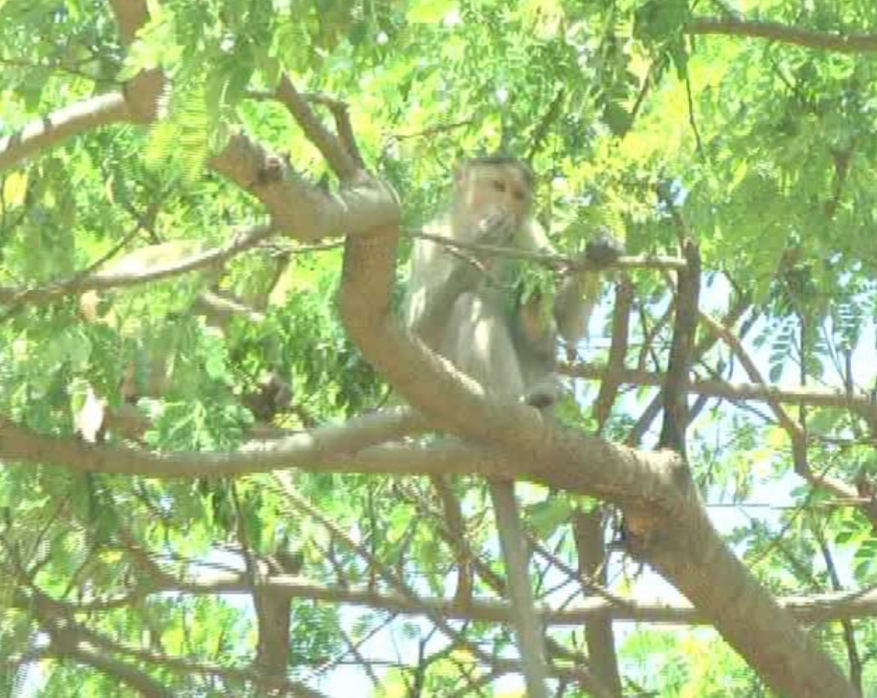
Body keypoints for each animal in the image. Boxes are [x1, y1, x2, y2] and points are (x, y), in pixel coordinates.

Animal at [404, 156, 622, 698]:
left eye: (520, 195)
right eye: (497, 186)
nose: (508, 206)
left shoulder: (531, 237)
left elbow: (567, 320)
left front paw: (599, 254)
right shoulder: (430, 242)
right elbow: (415, 333)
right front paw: (480, 245)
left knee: (536, 336)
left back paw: (537, 350)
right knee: (472, 308)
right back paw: (518, 402)